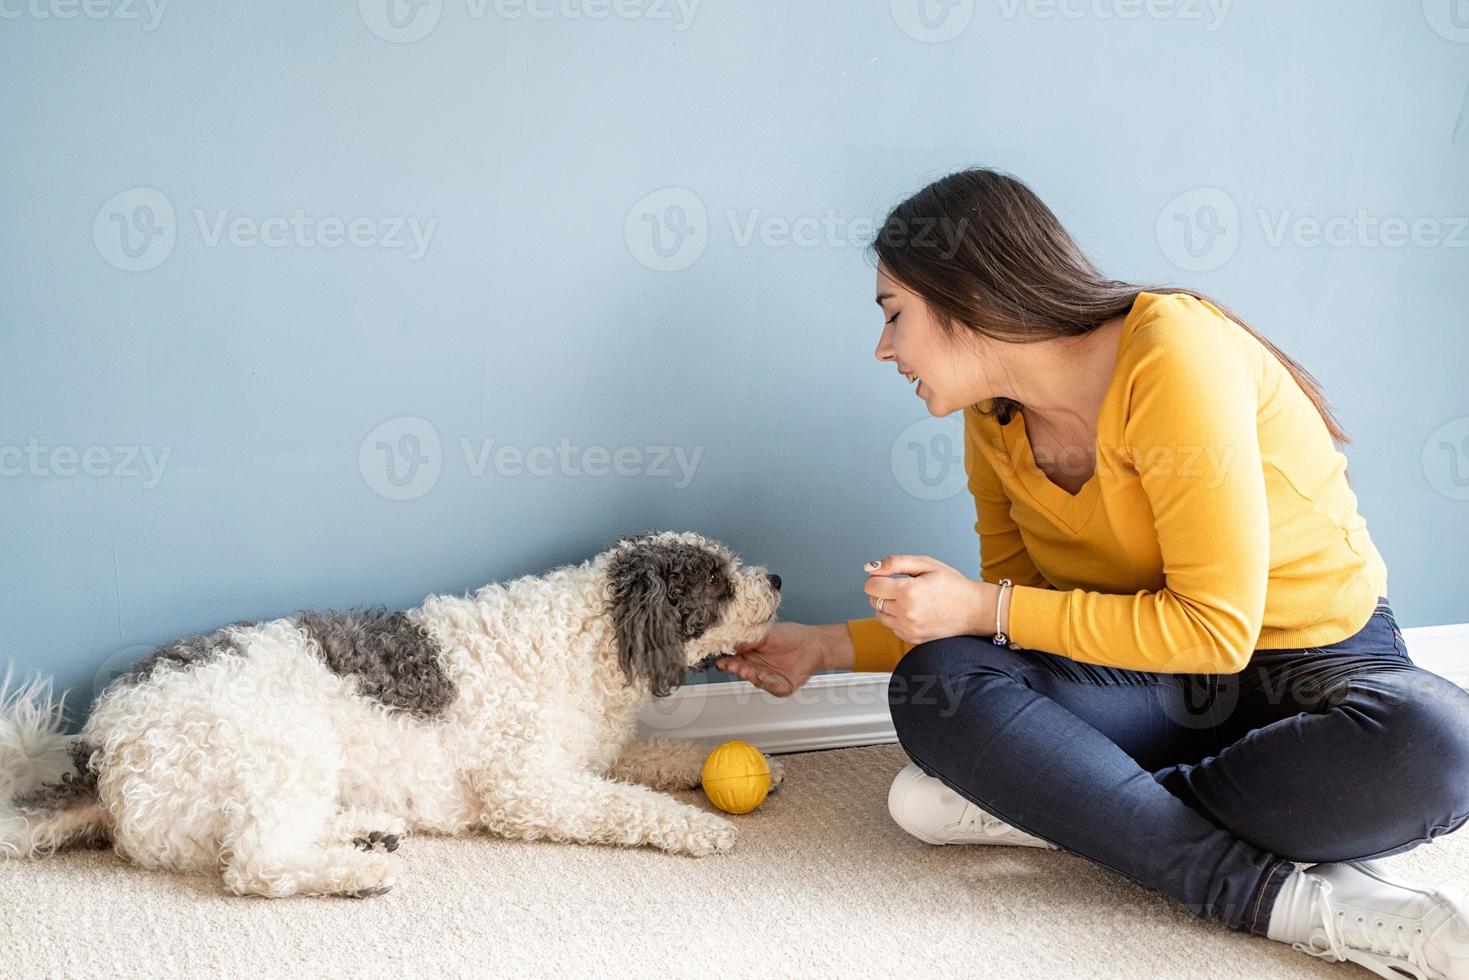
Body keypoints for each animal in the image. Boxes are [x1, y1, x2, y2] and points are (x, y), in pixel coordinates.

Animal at [0, 531, 787, 899]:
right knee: (256, 864)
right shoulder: (530, 790)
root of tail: (103, 747)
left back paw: (366, 829)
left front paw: (737, 767)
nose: (778, 577)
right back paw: (358, 872)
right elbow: (626, 805)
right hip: (280, 746)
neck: (590, 637)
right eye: (717, 580)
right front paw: (699, 825)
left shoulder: (593, 756)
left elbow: (654, 763)